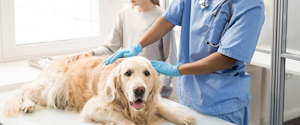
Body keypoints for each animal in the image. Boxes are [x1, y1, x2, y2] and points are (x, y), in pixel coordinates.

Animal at [1, 55, 197, 124]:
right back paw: (28, 105)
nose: (139, 90)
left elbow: (164, 107)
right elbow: (124, 119)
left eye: (147, 73)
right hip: (54, 85)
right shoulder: (94, 108)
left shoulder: (151, 102)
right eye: (127, 73)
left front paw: (183, 117)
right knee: (25, 91)